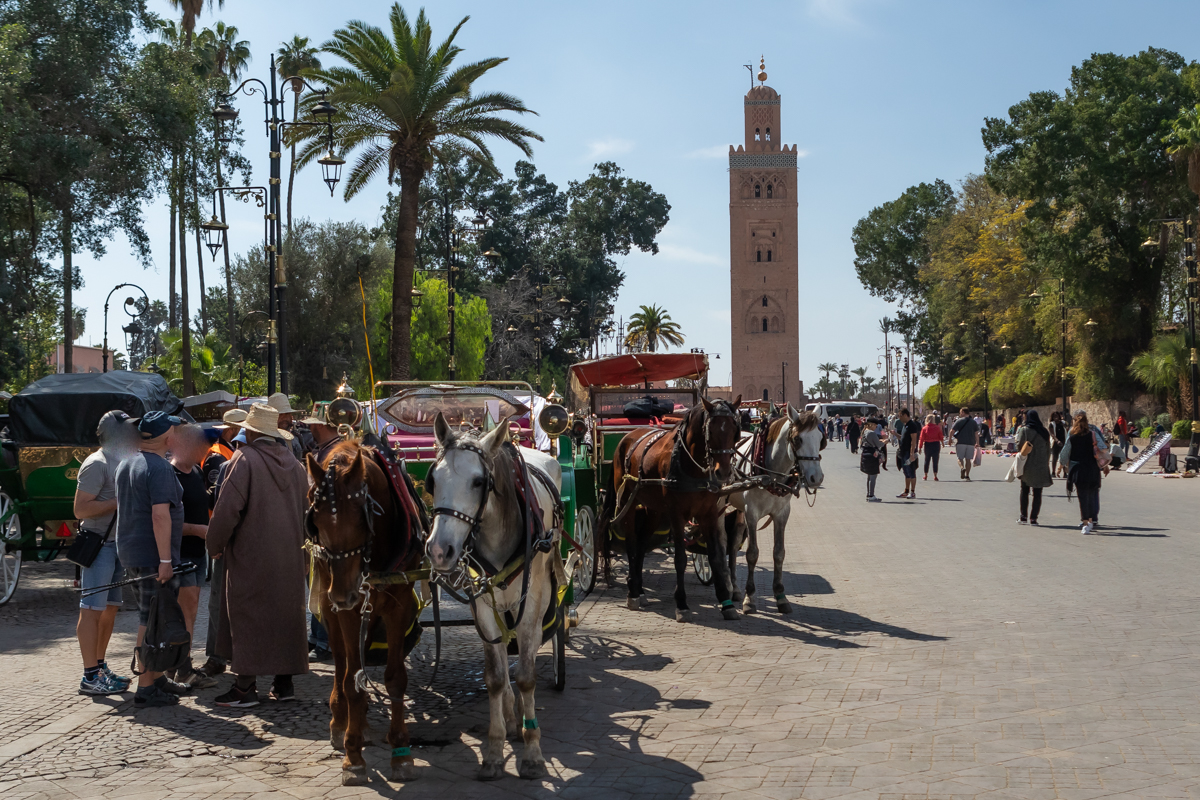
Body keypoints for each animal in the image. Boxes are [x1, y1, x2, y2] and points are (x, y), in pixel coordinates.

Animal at [304, 441, 425, 786]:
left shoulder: (399, 605)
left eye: (362, 518)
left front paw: (401, 750)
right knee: (341, 663)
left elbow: (395, 678)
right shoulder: (349, 610)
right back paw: (340, 720)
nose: (343, 594)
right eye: (316, 520)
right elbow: (351, 680)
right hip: (330, 608)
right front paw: (353, 756)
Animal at [424, 413, 563, 781]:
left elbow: (526, 676)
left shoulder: (532, 604)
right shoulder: (483, 605)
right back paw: (512, 717)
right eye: (433, 480)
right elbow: (496, 678)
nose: (439, 551)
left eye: (477, 482)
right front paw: (495, 750)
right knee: (502, 652)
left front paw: (532, 752)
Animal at [598, 396, 742, 623]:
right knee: (631, 545)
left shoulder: (708, 514)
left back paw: (639, 589)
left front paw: (726, 603)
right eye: (711, 430)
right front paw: (681, 604)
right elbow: (680, 559)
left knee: (641, 545)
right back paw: (632, 593)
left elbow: (716, 557)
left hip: (654, 511)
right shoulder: (676, 515)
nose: (724, 472)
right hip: (628, 505)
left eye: (735, 429)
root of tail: (627, 437)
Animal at [724, 405, 825, 614]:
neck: (770, 475)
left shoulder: (782, 514)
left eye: (820, 438)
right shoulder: (751, 513)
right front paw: (750, 598)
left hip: (738, 509)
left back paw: (735, 587)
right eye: (797, 439)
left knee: (734, 542)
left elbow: (779, 552)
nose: (816, 478)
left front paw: (780, 596)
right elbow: (752, 554)